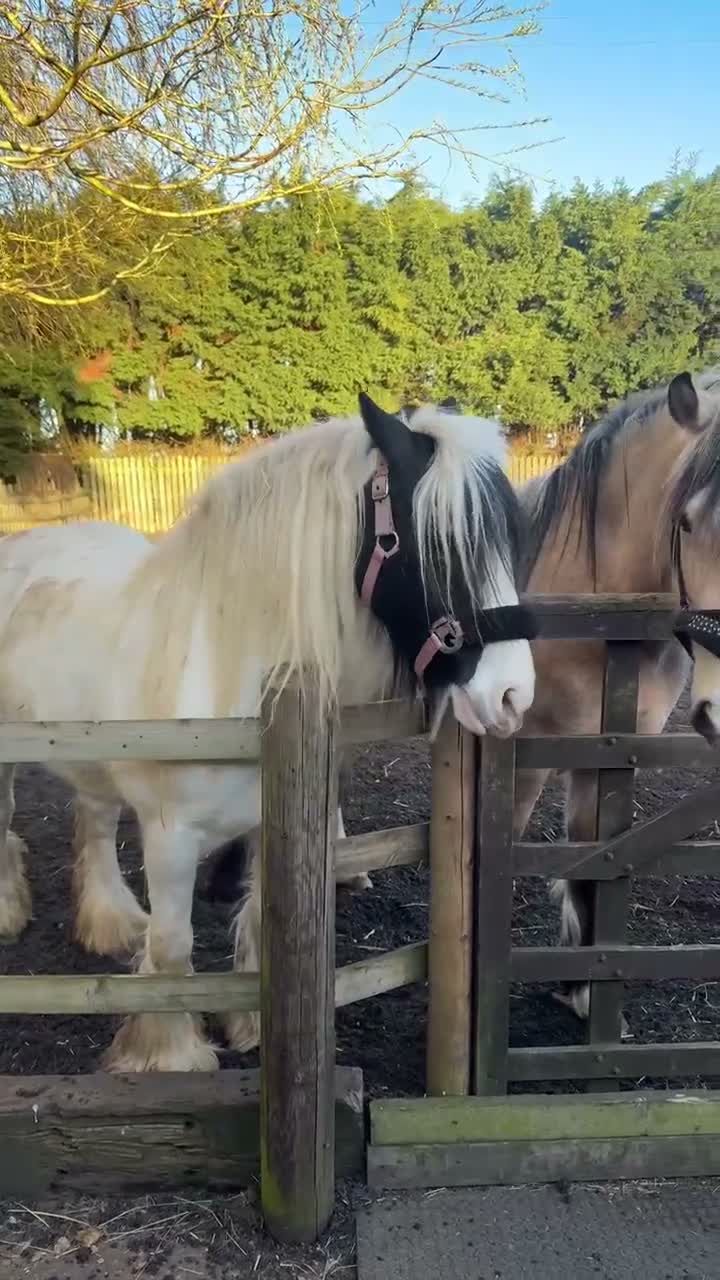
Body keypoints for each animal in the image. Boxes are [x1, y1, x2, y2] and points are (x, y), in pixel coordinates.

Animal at [0, 392, 536, 1071]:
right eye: (435, 546)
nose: (513, 695)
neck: (227, 666)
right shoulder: (170, 838)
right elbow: (173, 946)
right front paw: (169, 1057)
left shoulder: (263, 827)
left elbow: (257, 923)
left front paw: (249, 1028)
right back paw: (9, 912)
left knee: (92, 822)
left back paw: (111, 922)